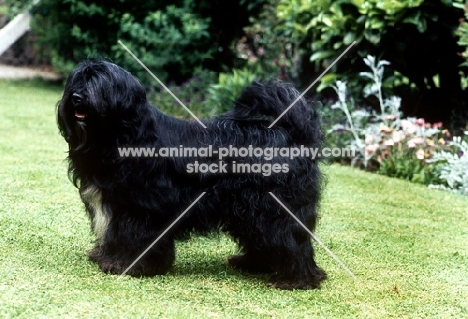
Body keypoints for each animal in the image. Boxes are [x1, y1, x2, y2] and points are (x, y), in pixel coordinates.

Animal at [57, 59, 326, 290]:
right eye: (77, 80)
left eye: (100, 83)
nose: (76, 98)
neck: (122, 137)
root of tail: (291, 135)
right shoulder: (115, 205)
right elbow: (115, 234)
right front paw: (108, 257)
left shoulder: (142, 208)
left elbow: (135, 236)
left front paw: (130, 265)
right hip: (249, 211)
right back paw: (254, 264)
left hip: (273, 209)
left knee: (291, 240)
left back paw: (297, 279)